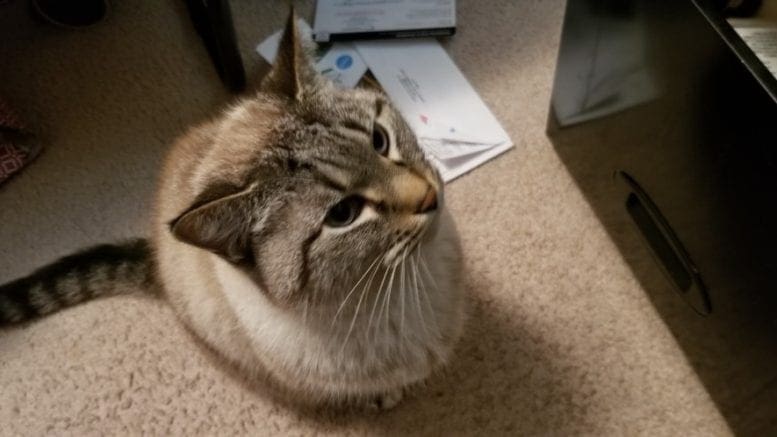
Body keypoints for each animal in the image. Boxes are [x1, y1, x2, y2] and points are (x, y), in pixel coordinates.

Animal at [0, 13, 464, 408]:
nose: (429, 197)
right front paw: (384, 396)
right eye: (344, 214)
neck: (410, 288)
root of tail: (154, 249)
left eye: (380, 141)